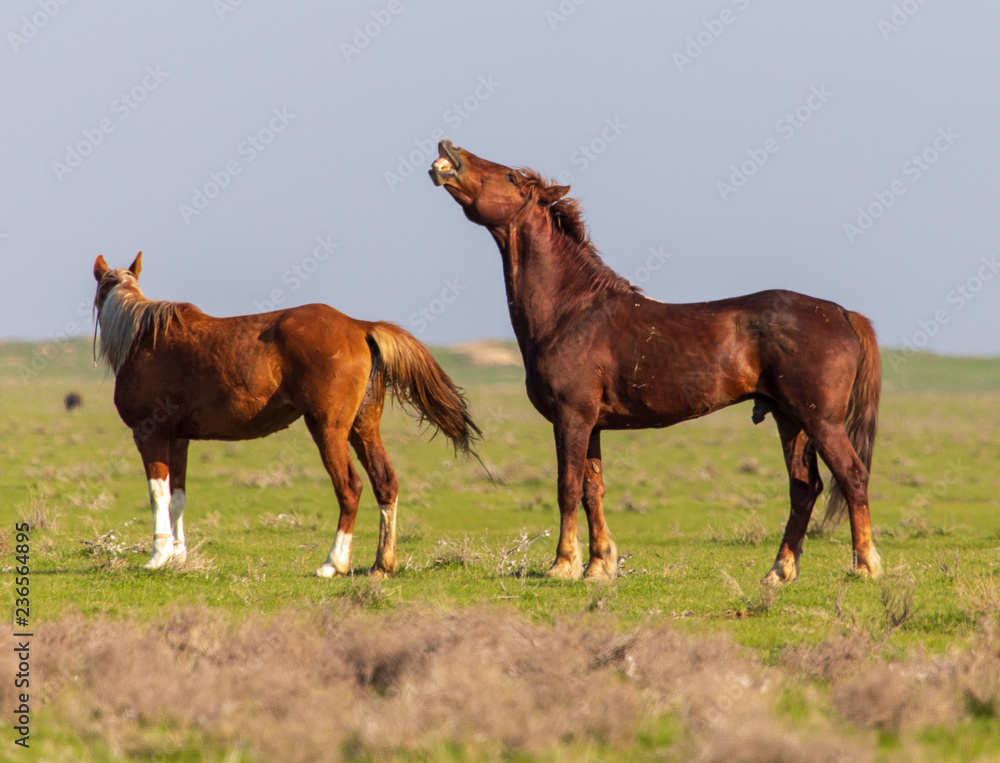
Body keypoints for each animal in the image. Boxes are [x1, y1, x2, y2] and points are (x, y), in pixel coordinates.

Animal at [93, 252, 479, 576]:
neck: (142, 339)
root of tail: (360, 326)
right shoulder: (179, 439)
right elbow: (178, 498)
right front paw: (178, 555)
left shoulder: (150, 434)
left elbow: (158, 494)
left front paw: (158, 557)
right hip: (363, 429)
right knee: (385, 483)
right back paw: (382, 564)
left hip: (328, 429)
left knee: (350, 487)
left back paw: (333, 563)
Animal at [430, 140, 882, 584]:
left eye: (510, 176)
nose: (449, 149)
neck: (571, 310)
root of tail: (841, 313)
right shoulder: (591, 423)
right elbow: (592, 490)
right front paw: (598, 565)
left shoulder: (571, 416)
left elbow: (567, 486)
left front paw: (562, 565)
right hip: (790, 420)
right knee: (804, 488)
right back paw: (780, 571)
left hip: (821, 420)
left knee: (852, 476)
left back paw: (866, 565)